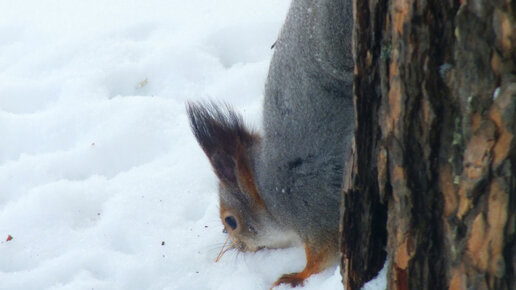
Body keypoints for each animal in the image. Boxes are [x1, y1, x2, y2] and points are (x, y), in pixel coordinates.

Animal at [186, 0, 354, 286]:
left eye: (231, 222)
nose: (237, 246)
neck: (267, 192)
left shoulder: (312, 208)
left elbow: (320, 258)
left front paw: (293, 277)